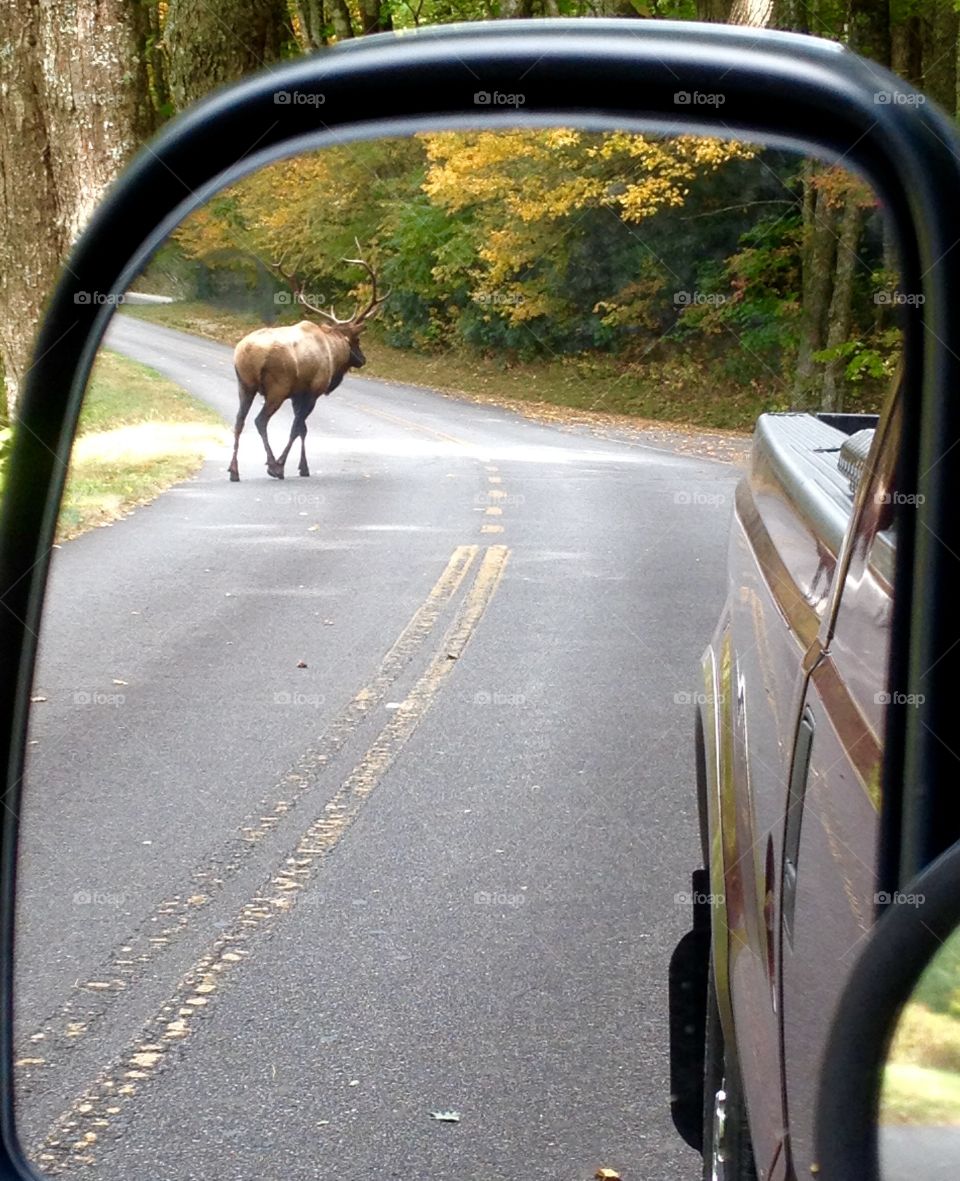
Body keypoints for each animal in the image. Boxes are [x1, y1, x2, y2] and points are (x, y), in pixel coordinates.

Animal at [226, 251, 387, 481]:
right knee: (260, 420)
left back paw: (234, 470)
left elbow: (302, 429)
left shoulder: (297, 394)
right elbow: (297, 428)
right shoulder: (312, 392)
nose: (362, 359)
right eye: (357, 340)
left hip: (245, 385)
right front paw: (285, 465)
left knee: (239, 421)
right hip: (277, 388)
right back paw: (273, 465)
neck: (333, 351)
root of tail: (246, 353)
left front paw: (303, 467)